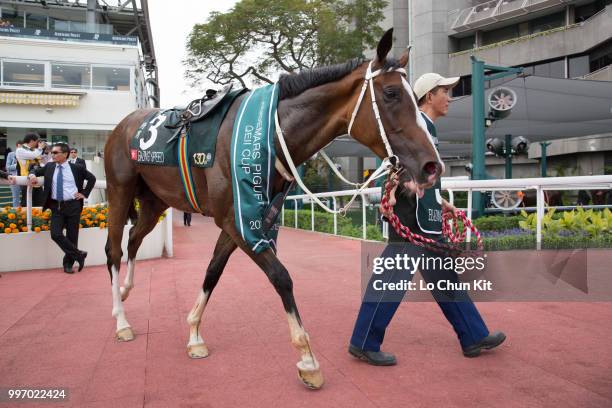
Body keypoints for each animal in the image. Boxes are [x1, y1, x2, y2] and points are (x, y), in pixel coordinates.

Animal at [105, 29, 444, 388]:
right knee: (114, 250)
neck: (269, 132)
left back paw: (126, 290)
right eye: (392, 93)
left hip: (154, 201)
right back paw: (121, 320)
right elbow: (281, 276)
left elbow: (213, 271)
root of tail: (124, 125)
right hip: (119, 191)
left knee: (133, 239)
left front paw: (195, 333)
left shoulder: (241, 221)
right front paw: (307, 358)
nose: (431, 166)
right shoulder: (239, 220)